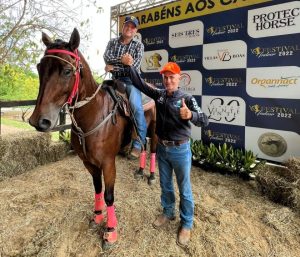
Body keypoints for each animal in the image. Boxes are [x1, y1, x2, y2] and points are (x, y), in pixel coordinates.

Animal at [29, 28, 157, 248]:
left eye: (67, 71)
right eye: (39, 67)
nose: (39, 120)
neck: (94, 113)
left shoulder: (108, 163)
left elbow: (109, 195)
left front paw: (110, 231)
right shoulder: (89, 163)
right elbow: (97, 188)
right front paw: (97, 217)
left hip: (156, 132)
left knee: (154, 150)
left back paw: (151, 176)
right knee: (143, 147)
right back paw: (140, 171)